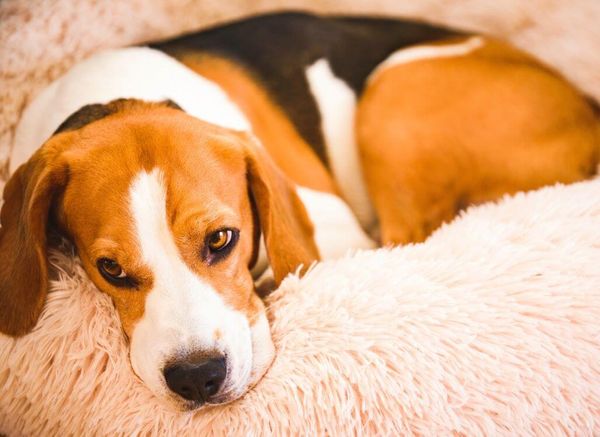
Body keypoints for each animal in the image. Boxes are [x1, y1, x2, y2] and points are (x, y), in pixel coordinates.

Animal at [1, 12, 600, 408]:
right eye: (110, 270)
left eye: (221, 239)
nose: (197, 378)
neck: (119, 98)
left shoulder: (336, 225)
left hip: (391, 91)